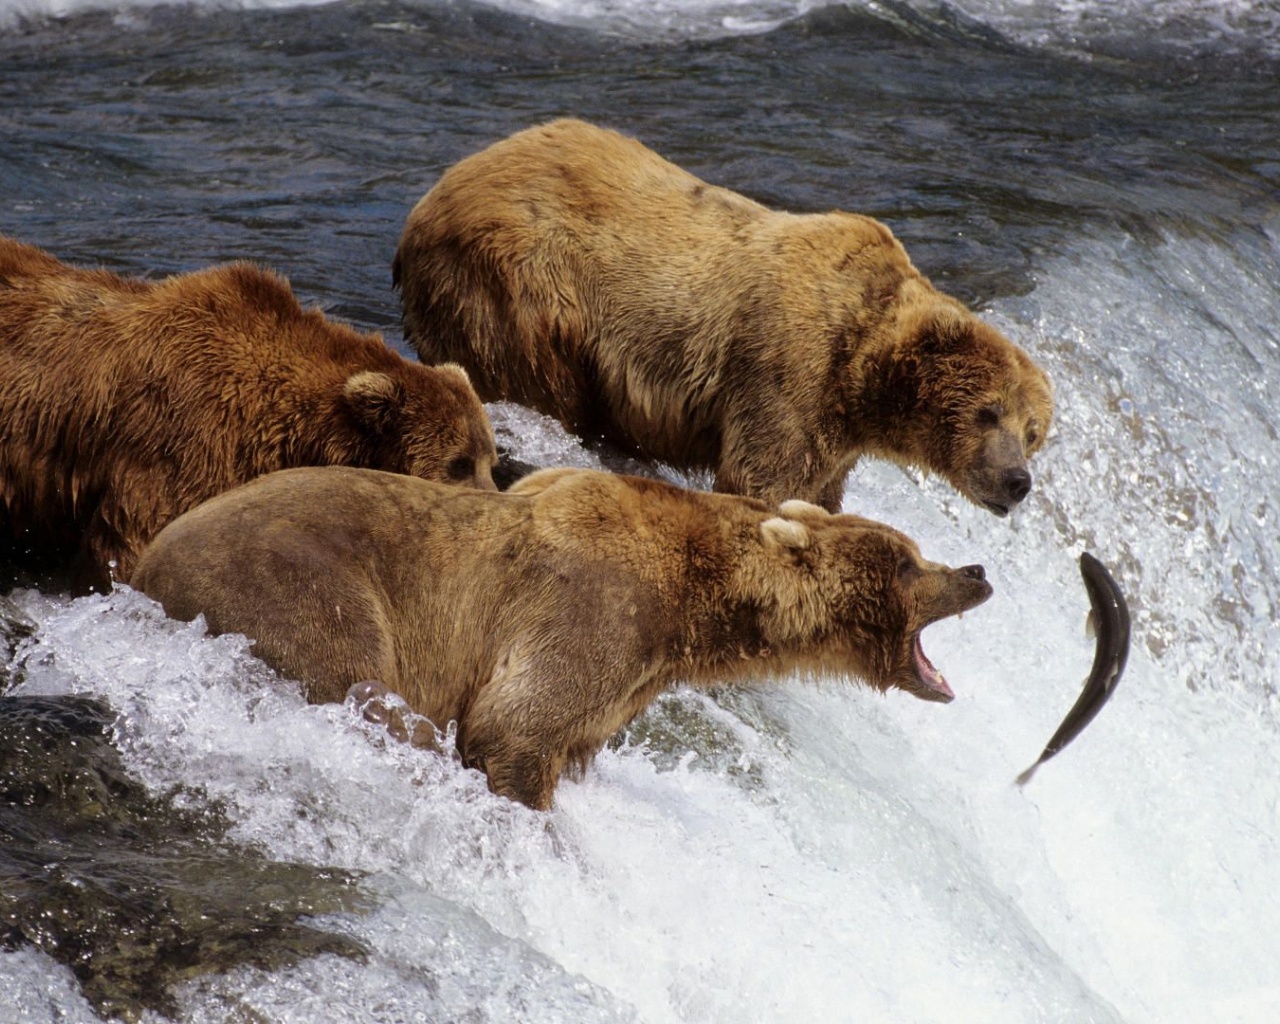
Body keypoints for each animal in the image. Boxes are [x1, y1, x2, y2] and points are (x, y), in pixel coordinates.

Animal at [132, 463, 988, 808]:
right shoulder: (593, 609)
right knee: (364, 687)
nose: (977, 570)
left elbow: (571, 738)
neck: (696, 603)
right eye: (908, 561)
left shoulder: (629, 677)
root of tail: (142, 565)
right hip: (301, 586)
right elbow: (513, 724)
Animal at [394, 119, 1054, 517]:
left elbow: (820, 492)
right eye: (988, 410)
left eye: (1032, 432)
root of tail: (433, 195)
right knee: (536, 378)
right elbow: (763, 480)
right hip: (521, 284)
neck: (862, 377)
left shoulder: (836, 435)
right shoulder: (788, 370)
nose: (1018, 481)